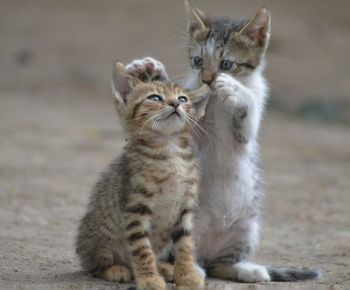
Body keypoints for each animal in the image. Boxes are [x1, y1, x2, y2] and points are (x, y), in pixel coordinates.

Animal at [75, 61, 209, 290]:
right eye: (155, 98)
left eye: (183, 99)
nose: (175, 104)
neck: (169, 149)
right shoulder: (136, 207)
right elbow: (142, 249)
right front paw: (149, 279)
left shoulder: (185, 206)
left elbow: (185, 244)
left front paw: (187, 275)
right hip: (101, 240)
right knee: (94, 267)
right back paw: (117, 270)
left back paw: (164, 267)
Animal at [126, 1, 320, 282]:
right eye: (197, 61)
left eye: (226, 64)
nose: (207, 79)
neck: (216, 102)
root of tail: (208, 248)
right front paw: (151, 69)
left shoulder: (248, 128)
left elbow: (248, 106)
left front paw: (235, 89)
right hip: (183, 221)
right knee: (190, 255)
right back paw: (194, 269)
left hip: (248, 227)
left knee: (220, 265)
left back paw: (250, 270)